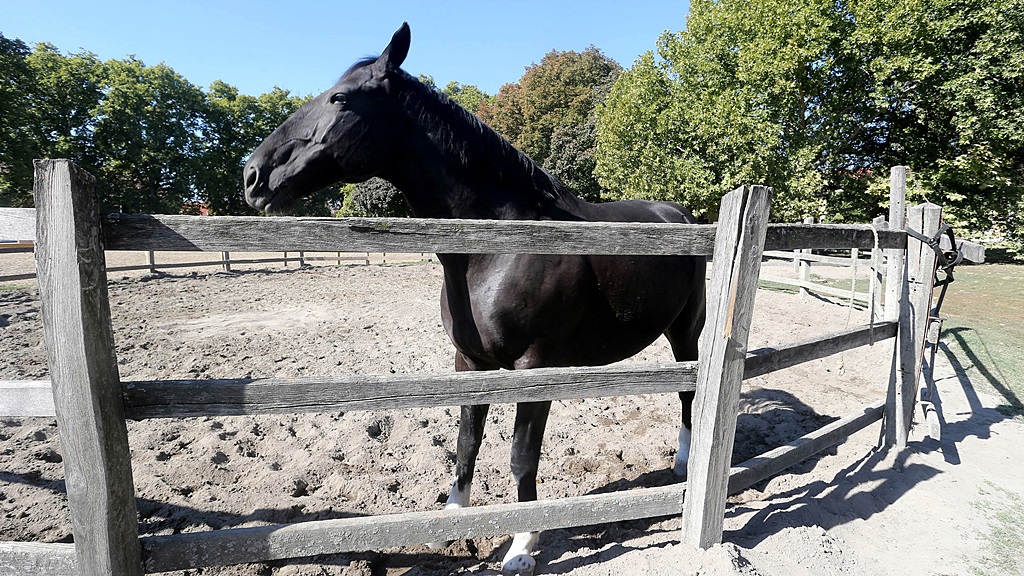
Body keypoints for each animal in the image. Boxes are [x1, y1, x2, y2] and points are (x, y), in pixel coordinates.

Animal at [241, 23, 704, 573]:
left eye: (341, 98)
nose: (253, 175)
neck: (498, 245)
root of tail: (681, 214)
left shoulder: (536, 369)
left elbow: (521, 457)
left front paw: (522, 548)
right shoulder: (469, 363)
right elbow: (466, 442)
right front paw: (453, 521)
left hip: (686, 333)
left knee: (690, 394)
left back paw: (684, 463)